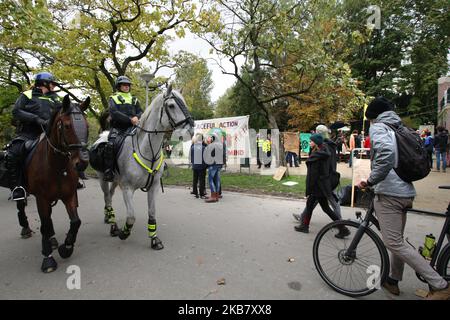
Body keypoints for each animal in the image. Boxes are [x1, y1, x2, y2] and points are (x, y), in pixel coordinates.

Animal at [21, 95, 90, 272]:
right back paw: (26, 229)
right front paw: (48, 259)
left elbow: (75, 222)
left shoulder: (69, 195)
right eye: (66, 125)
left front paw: (66, 248)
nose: (82, 163)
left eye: (87, 125)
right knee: (21, 206)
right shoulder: (41, 198)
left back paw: (53, 240)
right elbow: (44, 225)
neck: (57, 166)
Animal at [93, 85, 193, 250]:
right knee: (107, 198)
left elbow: (152, 213)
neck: (147, 150)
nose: (190, 131)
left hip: (115, 181)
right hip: (102, 178)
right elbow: (131, 217)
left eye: (185, 103)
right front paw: (124, 233)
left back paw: (108, 218)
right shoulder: (127, 188)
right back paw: (113, 226)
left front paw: (154, 239)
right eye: (171, 106)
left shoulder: (153, 187)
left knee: (110, 197)